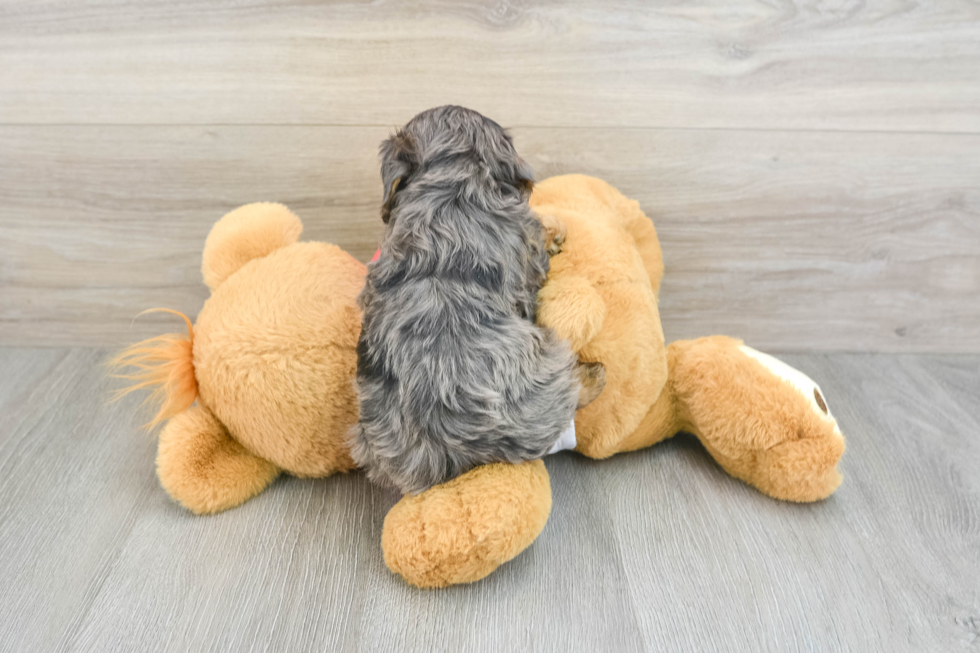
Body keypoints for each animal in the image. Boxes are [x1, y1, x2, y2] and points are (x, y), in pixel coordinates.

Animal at [348, 105, 600, 494]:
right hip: (547, 360)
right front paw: (554, 231)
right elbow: (538, 238)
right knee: (569, 396)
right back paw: (594, 377)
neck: (449, 176)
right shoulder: (527, 245)